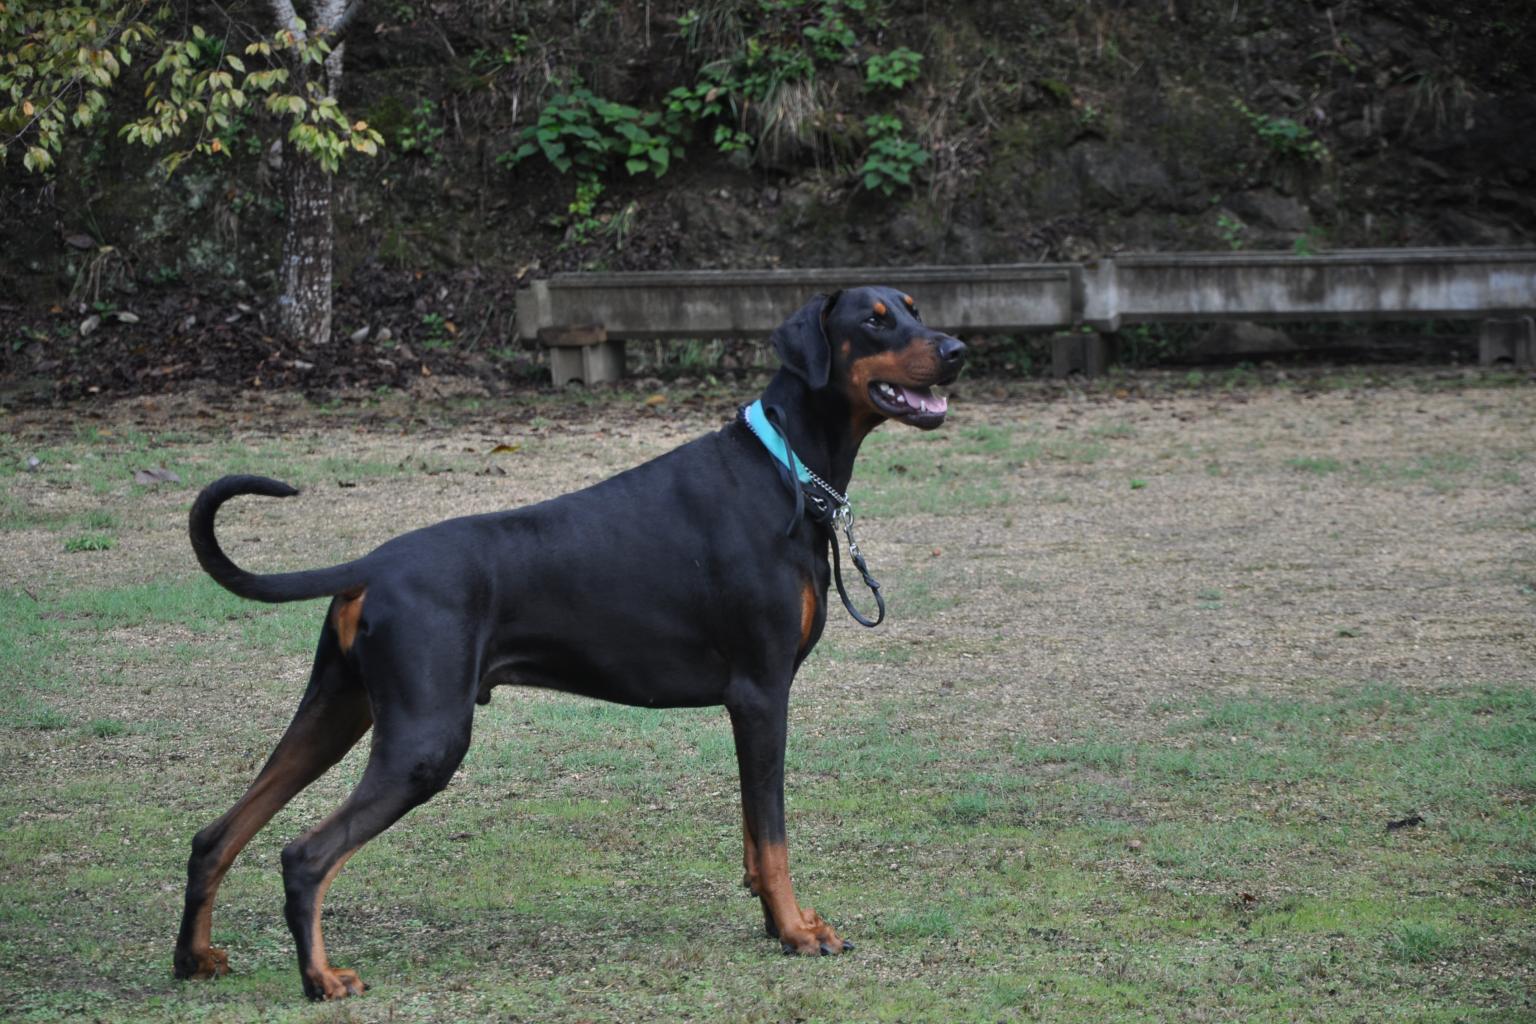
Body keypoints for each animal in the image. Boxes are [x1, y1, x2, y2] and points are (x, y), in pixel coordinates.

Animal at [172, 286, 966, 999]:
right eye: (875, 320)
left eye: (916, 309)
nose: (958, 350)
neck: (786, 469)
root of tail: (368, 565)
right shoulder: (762, 693)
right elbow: (772, 835)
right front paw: (796, 932)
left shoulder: (752, 707)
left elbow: (752, 830)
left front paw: (777, 922)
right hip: (425, 742)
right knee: (305, 855)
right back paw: (320, 977)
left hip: (336, 713)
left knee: (215, 835)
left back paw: (194, 958)